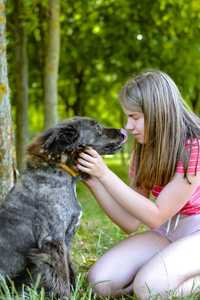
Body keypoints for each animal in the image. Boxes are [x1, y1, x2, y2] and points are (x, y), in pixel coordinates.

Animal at [0, 116, 126, 298]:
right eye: (96, 127)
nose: (124, 131)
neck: (61, 170)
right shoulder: (53, 241)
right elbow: (60, 275)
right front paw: (66, 295)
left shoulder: (65, 240)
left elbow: (69, 269)